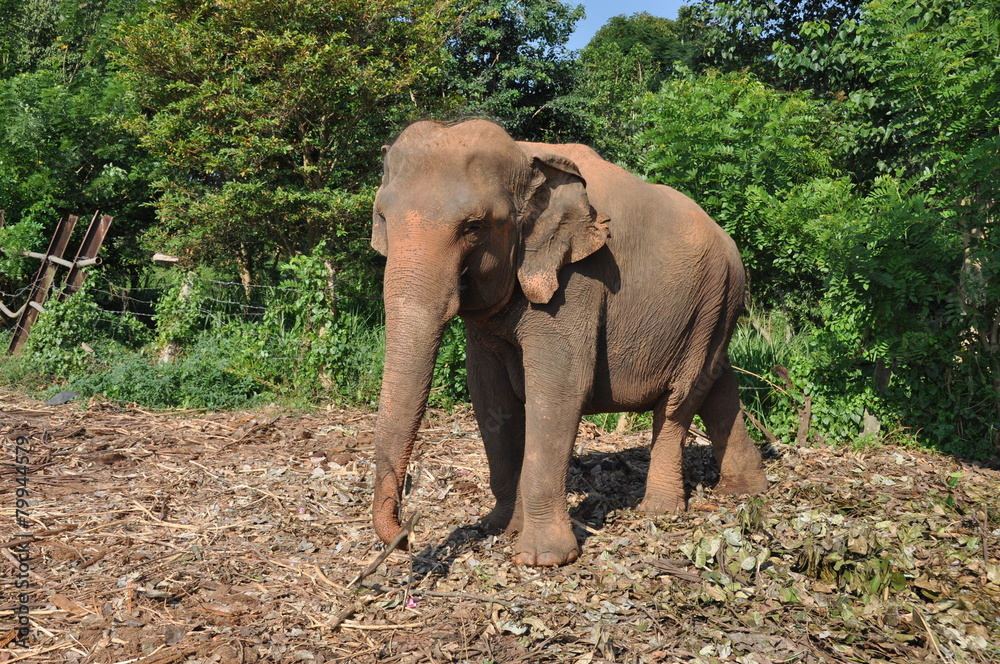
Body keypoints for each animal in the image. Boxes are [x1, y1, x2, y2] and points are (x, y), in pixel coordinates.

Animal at [370, 119, 768, 566]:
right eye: (382, 217)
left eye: (473, 227)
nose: (407, 538)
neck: (525, 154)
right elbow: (489, 394)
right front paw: (498, 528)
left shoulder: (578, 279)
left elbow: (559, 389)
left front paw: (542, 558)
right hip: (717, 306)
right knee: (719, 382)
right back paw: (746, 489)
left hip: (714, 298)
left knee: (680, 399)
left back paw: (660, 510)